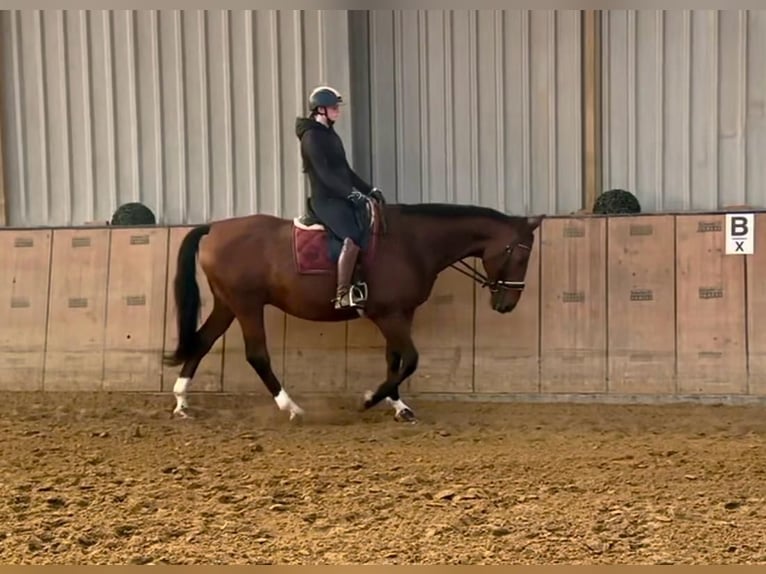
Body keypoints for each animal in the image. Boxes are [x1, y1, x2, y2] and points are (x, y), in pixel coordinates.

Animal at [164, 200, 544, 426]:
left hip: (227, 303)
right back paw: (292, 408)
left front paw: (399, 407)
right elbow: (410, 358)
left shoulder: (401, 313)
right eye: (521, 253)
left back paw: (182, 403)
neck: (412, 243)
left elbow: (395, 359)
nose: (507, 305)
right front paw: (369, 399)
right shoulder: (388, 314)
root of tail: (215, 227)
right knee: (256, 354)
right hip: (247, 305)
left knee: (202, 341)